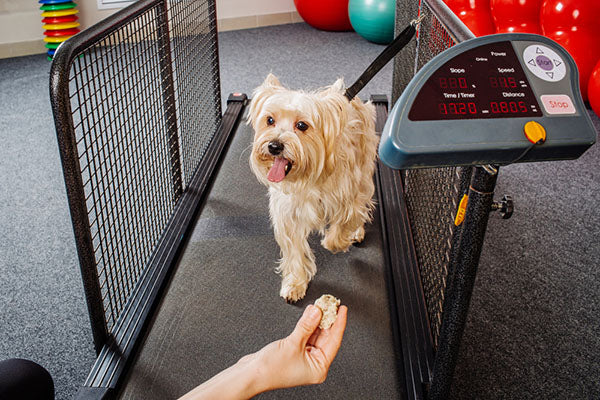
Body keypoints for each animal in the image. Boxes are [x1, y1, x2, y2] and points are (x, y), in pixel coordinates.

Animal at [246, 73, 378, 302]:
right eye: (270, 120)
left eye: (302, 125)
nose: (274, 146)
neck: (307, 177)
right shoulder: (288, 213)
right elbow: (295, 251)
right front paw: (295, 283)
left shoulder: (350, 193)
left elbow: (348, 218)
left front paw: (336, 242)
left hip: (365, 165)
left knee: (364, 202)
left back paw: (356, 232)